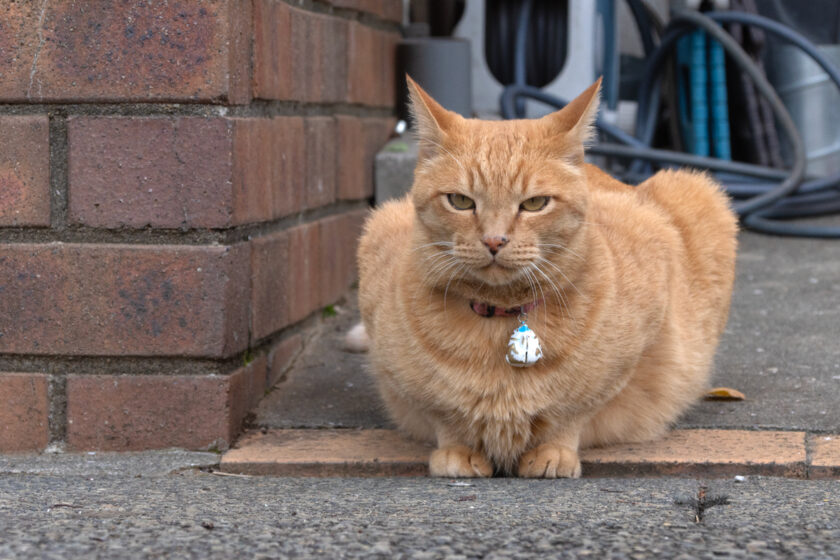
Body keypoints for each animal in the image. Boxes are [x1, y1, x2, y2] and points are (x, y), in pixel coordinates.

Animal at [354, 76, 736, 480]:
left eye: (535, 204)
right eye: (460, 201)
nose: (494, 240)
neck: (501, 318)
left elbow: (571, 413)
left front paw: (554, 452)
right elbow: (444, 415)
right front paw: (458, 450)